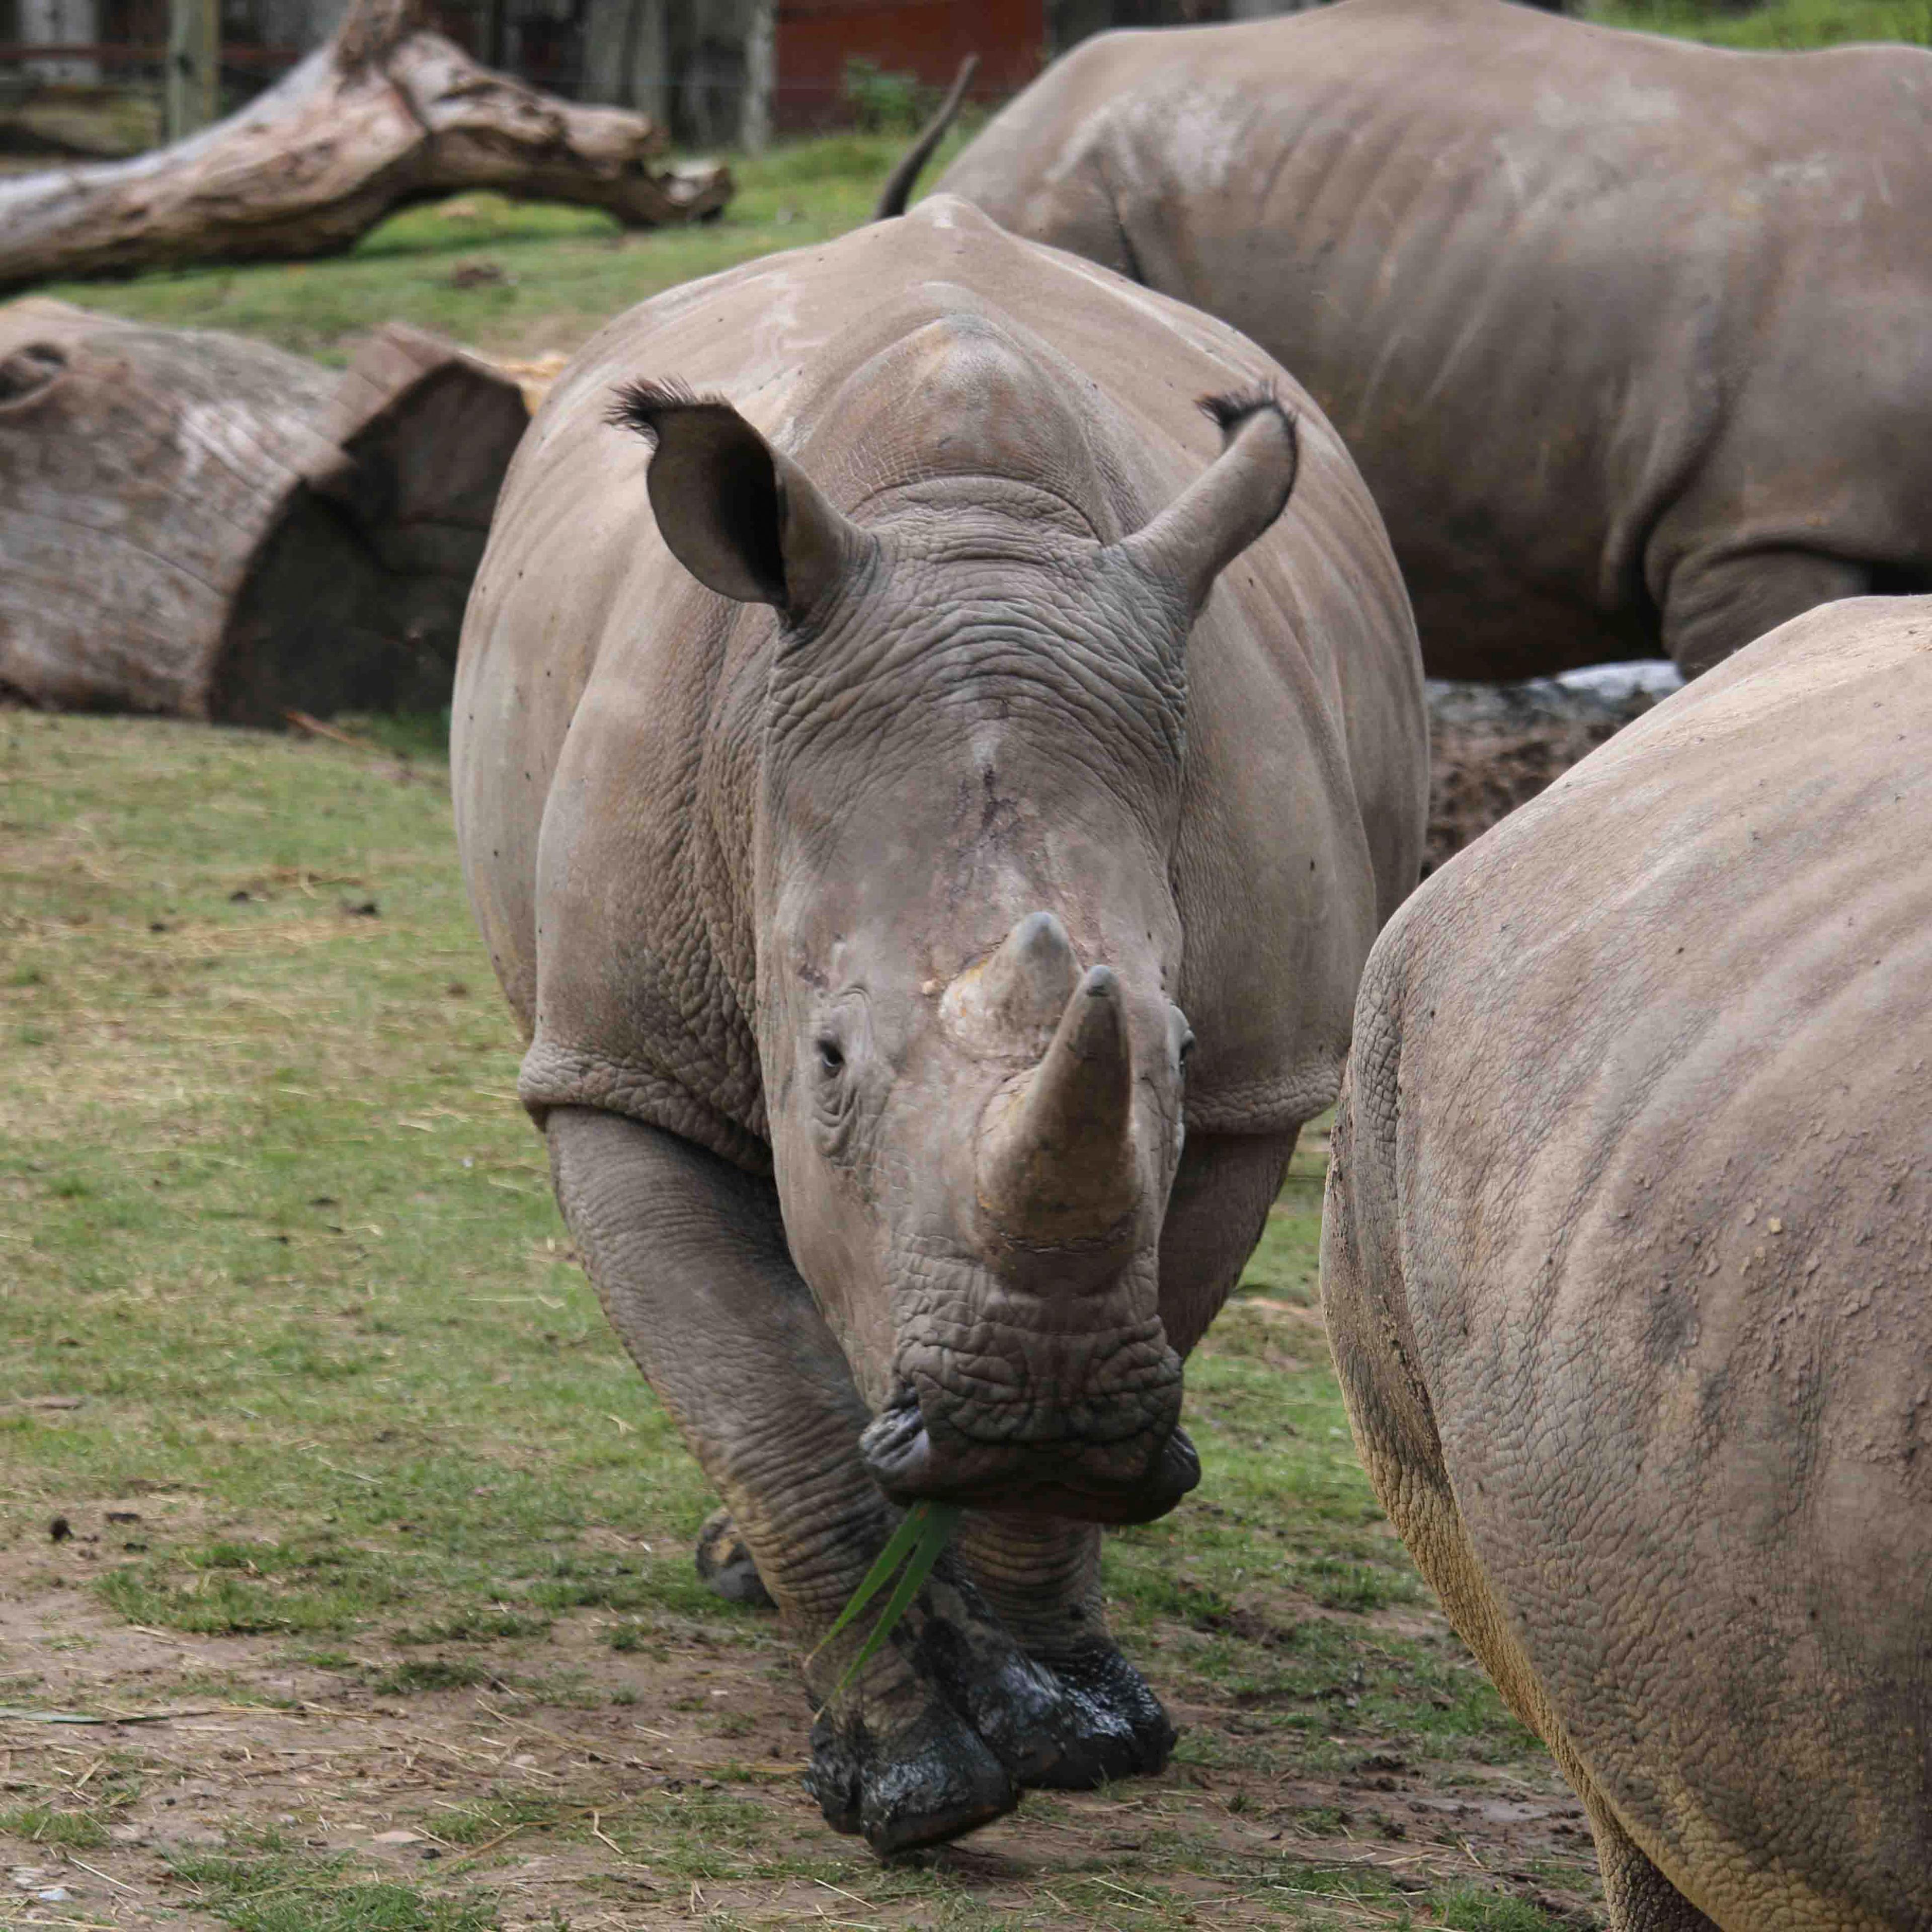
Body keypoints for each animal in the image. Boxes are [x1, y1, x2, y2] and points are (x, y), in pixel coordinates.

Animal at [452, 197, 1425, 1853]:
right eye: (828, 1058)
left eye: (1172, 1046)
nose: (1034, 1410)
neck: (969, 532)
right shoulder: (615, 1063)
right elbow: (764, 1409)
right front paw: (908, 1780)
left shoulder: (1251, 1085)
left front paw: (1069, 1720)